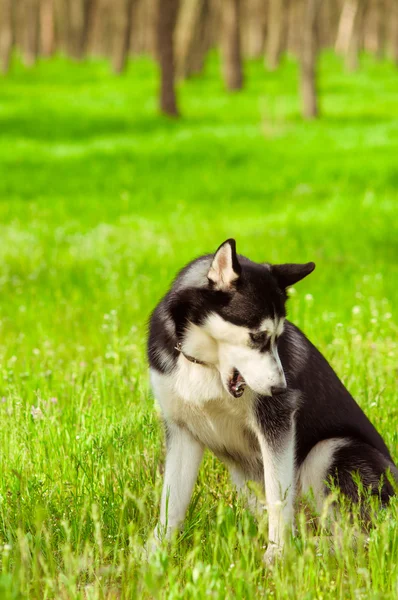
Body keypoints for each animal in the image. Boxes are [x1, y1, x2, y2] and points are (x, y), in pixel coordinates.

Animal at [148, 239, 396, 564]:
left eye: (278, 337)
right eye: (257, 336)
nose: (281, 389)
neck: (204, 365)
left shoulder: (276, 423)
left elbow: (278, 497)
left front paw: (277, 555)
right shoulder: (182, 431)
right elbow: (171, 504)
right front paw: (154, 555)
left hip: (328, 451)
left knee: (366, 535)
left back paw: (314, 548)